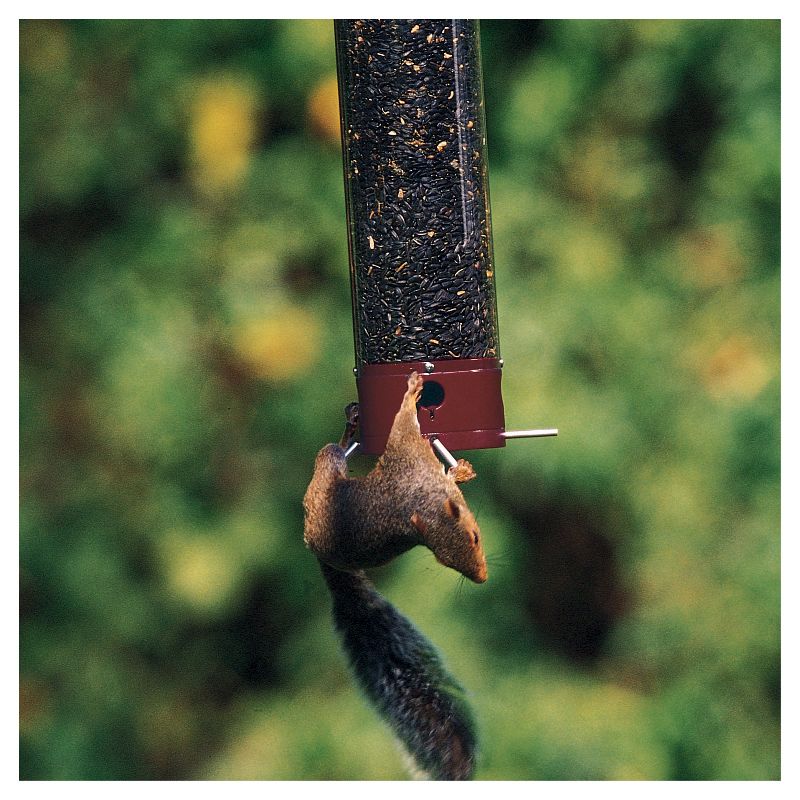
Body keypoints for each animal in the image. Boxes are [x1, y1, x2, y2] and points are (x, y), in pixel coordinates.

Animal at [303, 371, 487, 780]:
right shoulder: (406, 452)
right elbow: (403, 424)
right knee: (332, 453)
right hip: (326, 472)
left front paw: (459, 471)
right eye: (446, 560)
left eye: (474, 537)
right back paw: (349, 430)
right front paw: (413, 389)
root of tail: (320, 553)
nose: (482, 578)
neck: (422, 498)